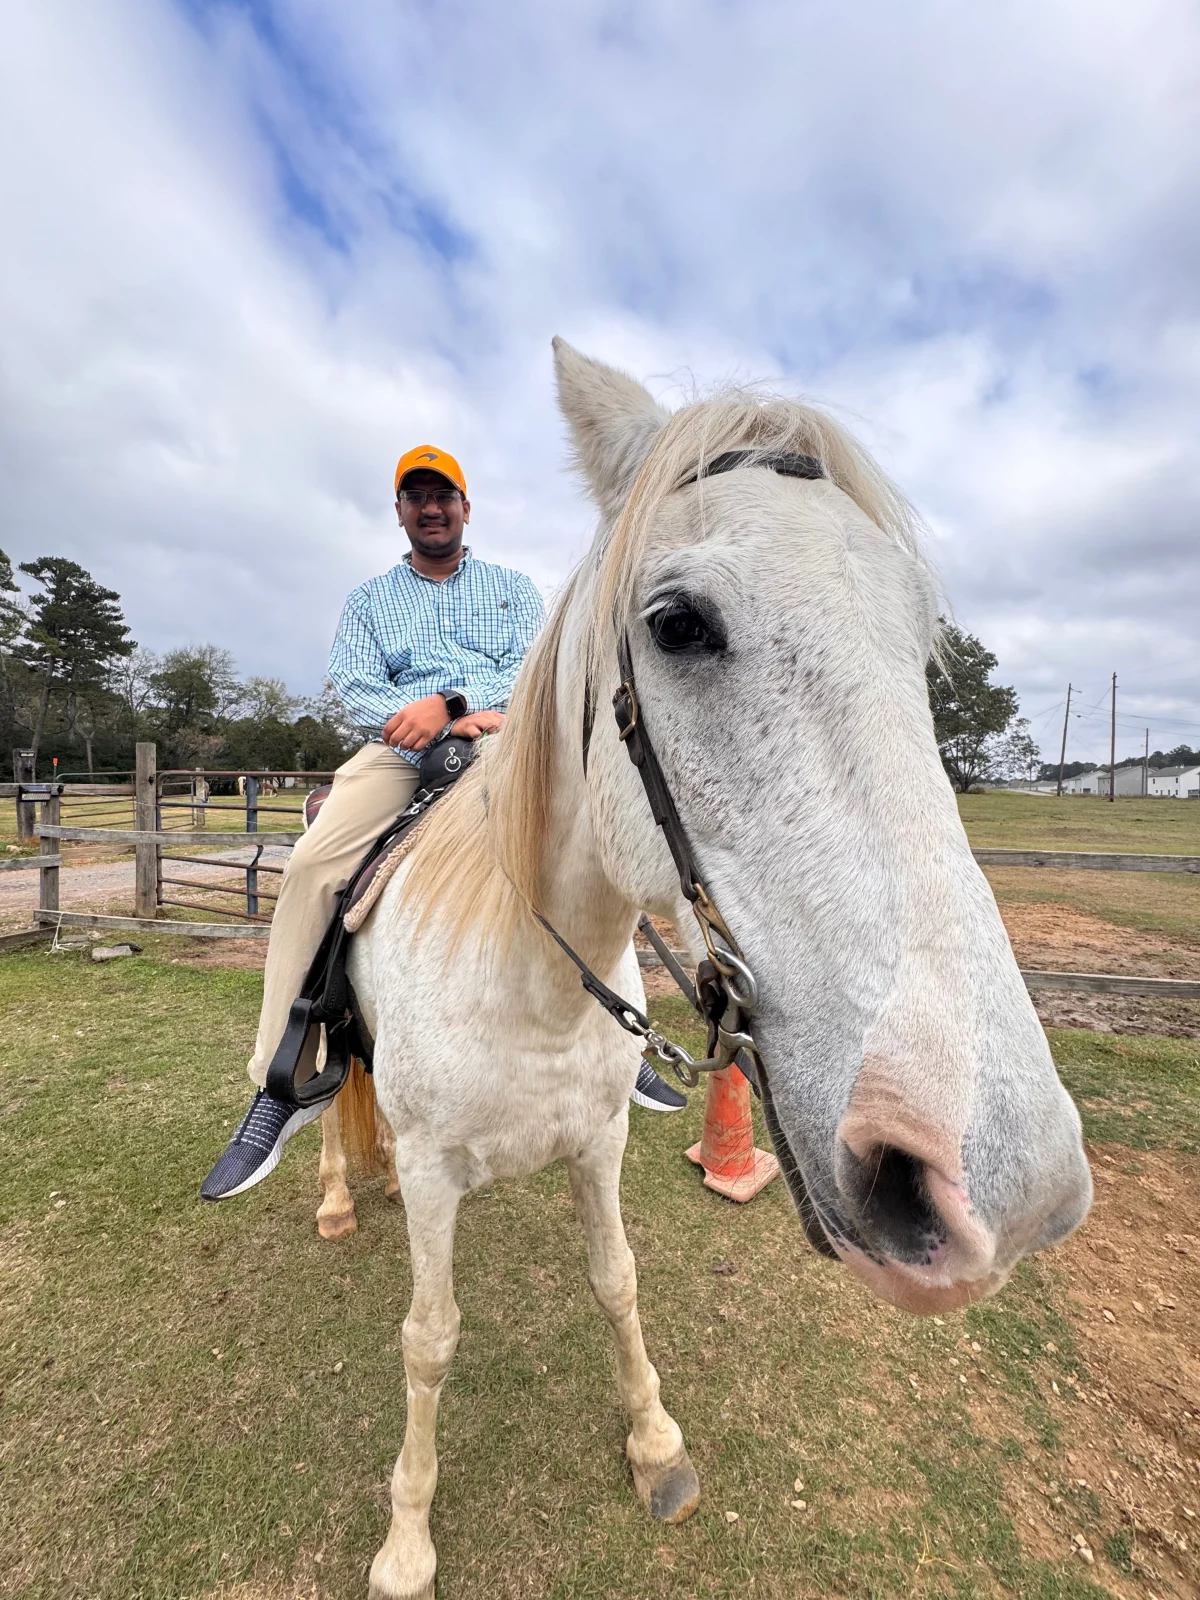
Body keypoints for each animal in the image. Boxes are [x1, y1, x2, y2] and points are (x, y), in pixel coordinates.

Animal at [318, 338, 1092, 1599]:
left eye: (920, 636)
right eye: (677, 623)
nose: (1008, 1193)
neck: (527, 984)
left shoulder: (598, 1141)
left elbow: (617, 1282)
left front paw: (654, 1444)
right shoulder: (436, 1172)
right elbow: (427, 1340)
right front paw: (407, 1538)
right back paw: (338, 1194)